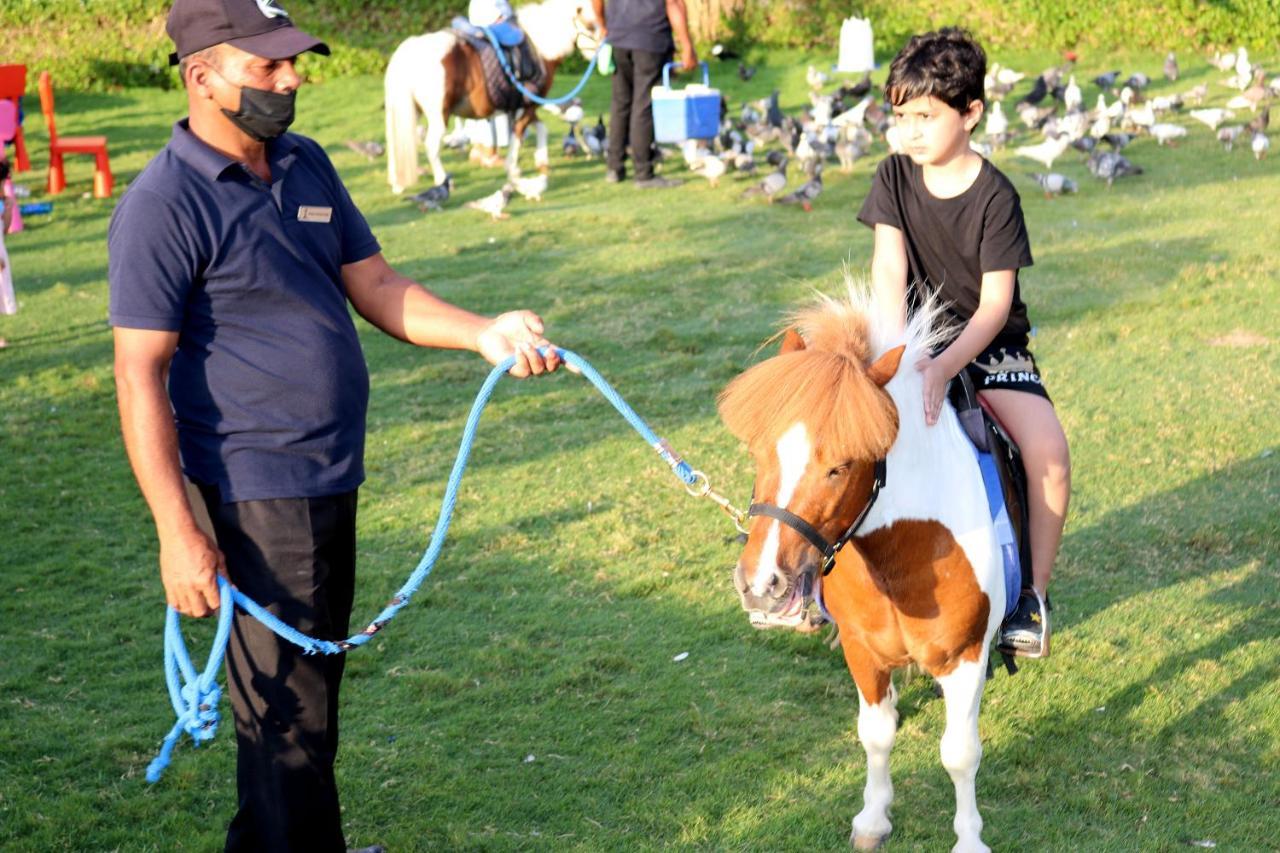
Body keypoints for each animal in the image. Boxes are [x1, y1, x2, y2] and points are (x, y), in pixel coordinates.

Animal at [384, 0, 599, 192]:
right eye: (591, 26)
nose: (598, 52)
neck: (538, 48)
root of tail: (409, 49)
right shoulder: (528, 105)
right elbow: (519, 134)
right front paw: (514, 170)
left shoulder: (527, 107)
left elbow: (541, 128)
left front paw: (542, 162)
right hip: (438, 114)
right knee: (431, 145)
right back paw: (443, 180)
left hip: (411, 111)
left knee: (398, 145)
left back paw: (397, 183)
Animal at [721, 284, 998, 850]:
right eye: (759, 454)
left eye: (839, 467)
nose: (760, 584)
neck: (903, 560)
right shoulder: (862, 652)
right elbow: (876, 734)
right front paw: (872, 820)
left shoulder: (964, 655)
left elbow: (960, 754)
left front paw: (969, 839)